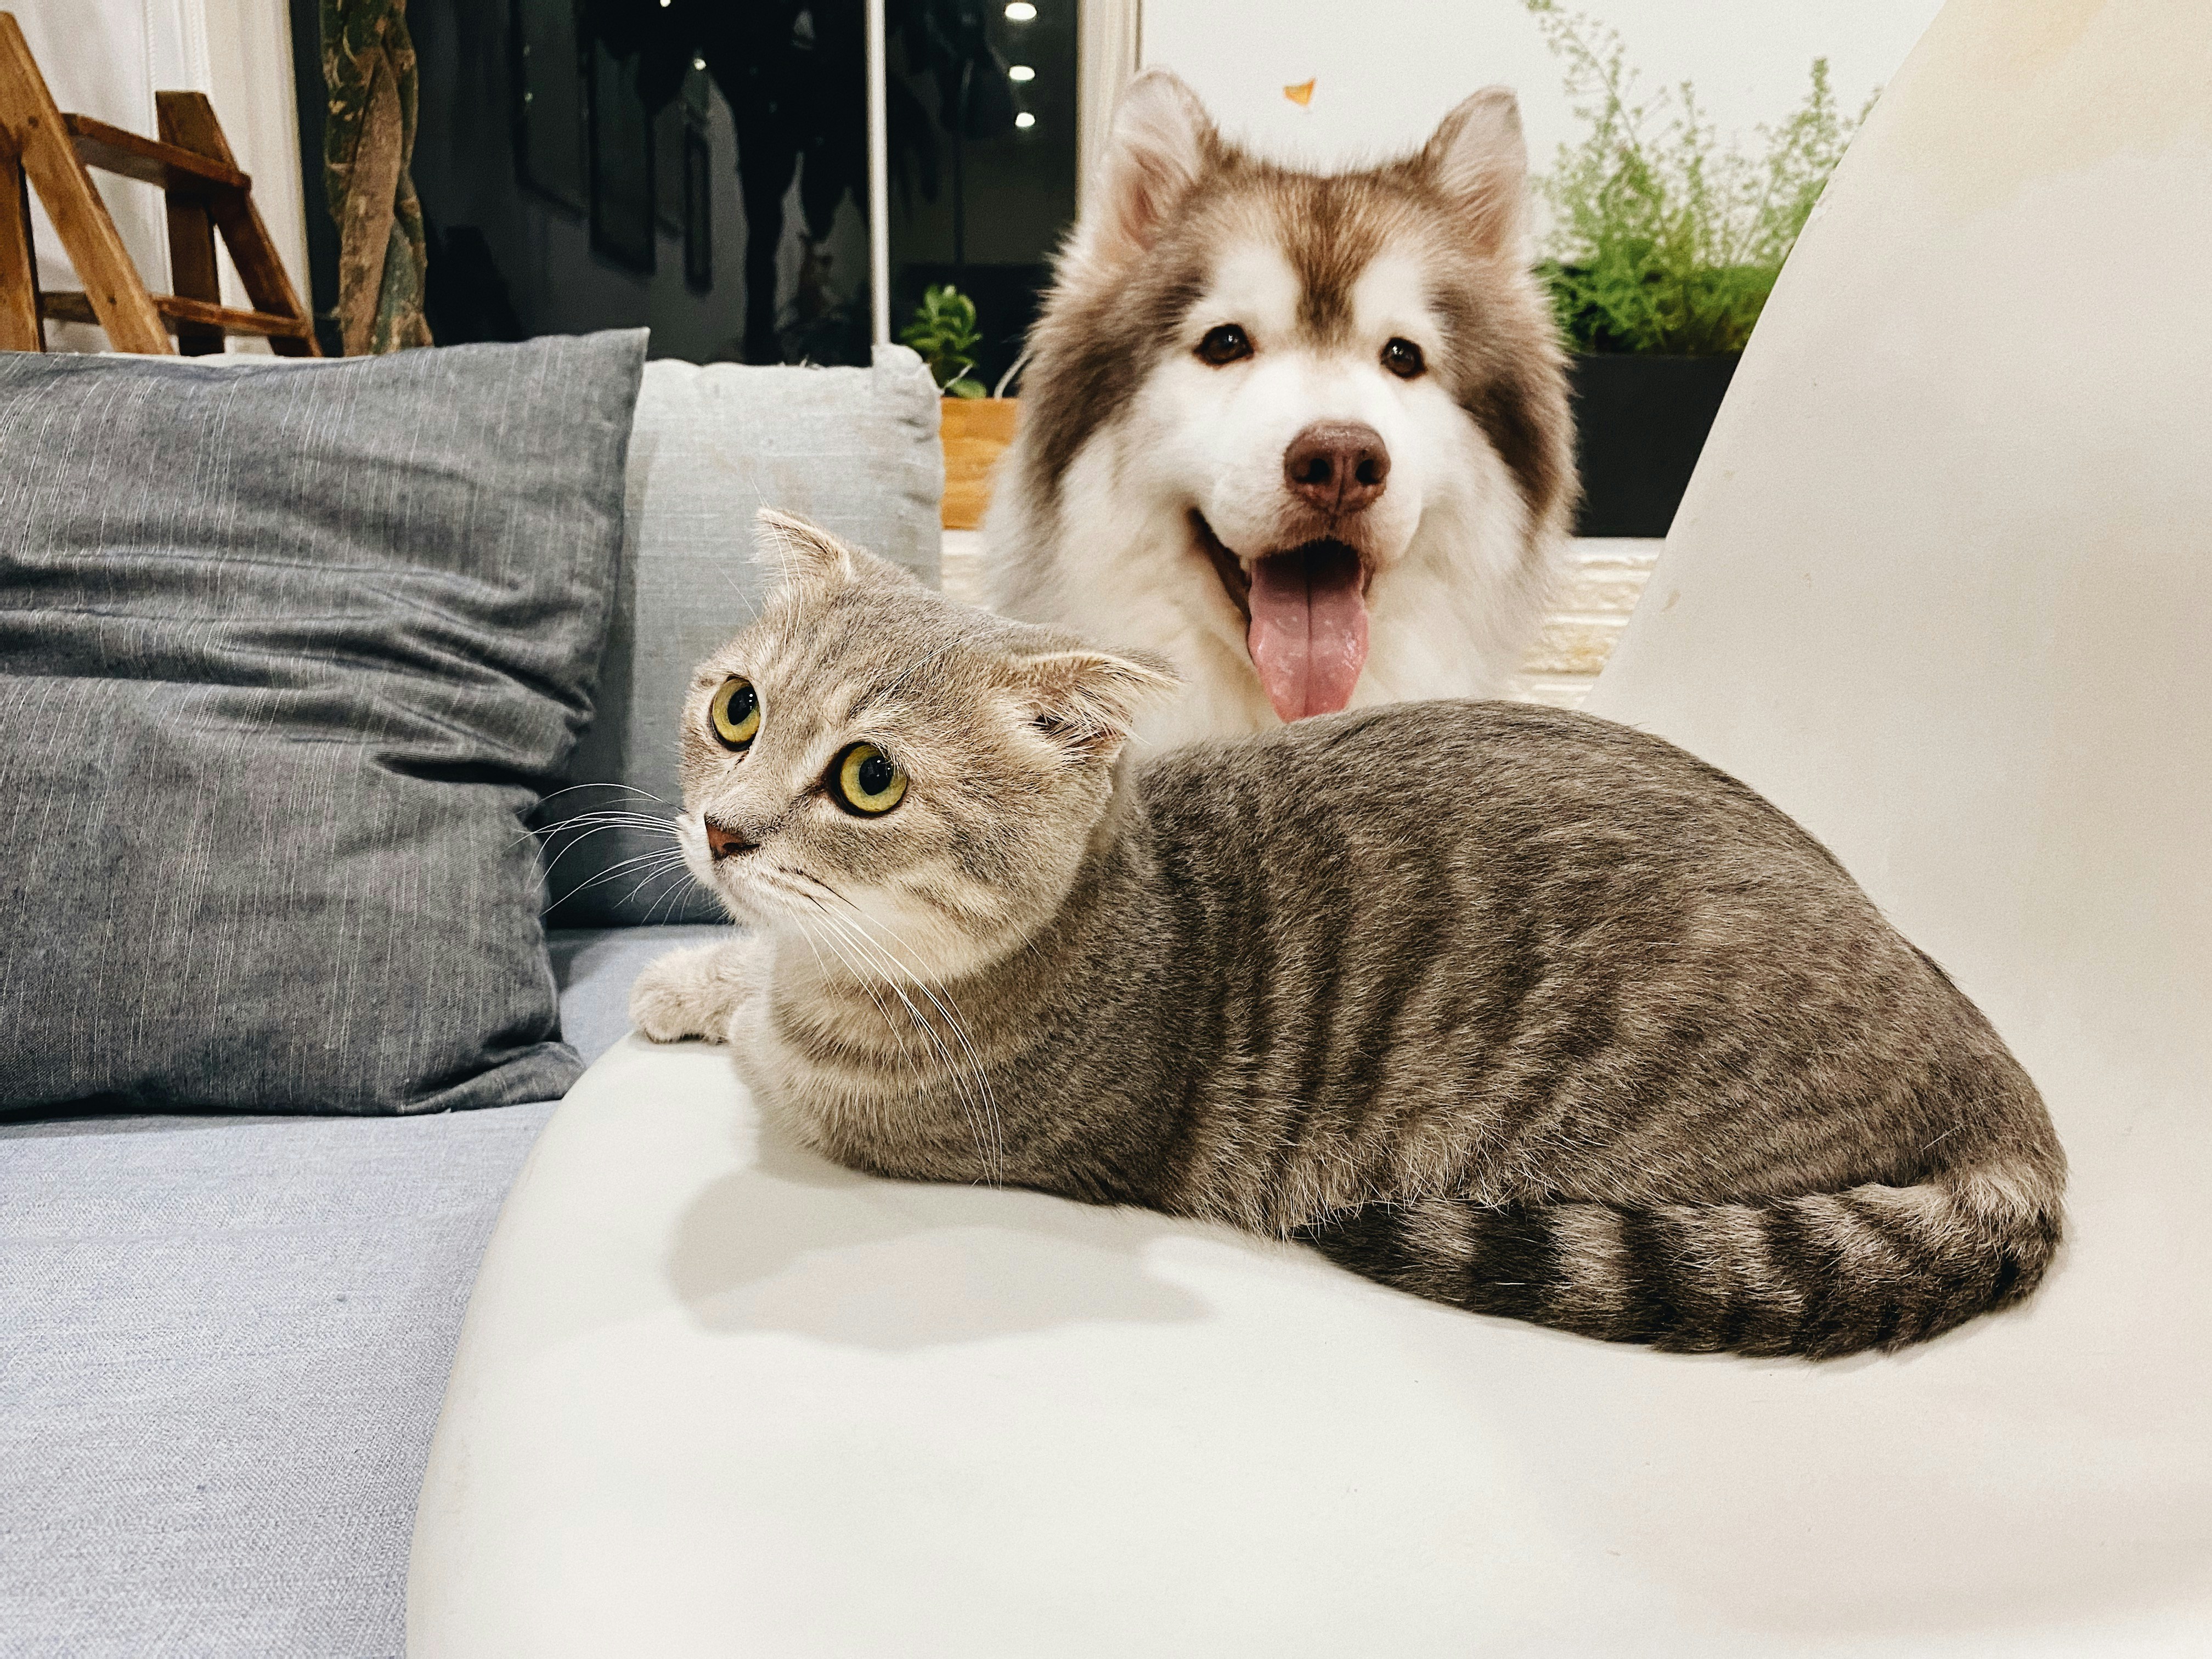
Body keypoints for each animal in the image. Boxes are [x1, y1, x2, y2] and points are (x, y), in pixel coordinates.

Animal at [633, 513, 2061, 1353]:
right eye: (739, 708)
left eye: (869, 780)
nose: (724, 832)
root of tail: (1995, 1074)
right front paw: (688, 975)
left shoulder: (879, 1119)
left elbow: (771, 1035)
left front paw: (723, 994)